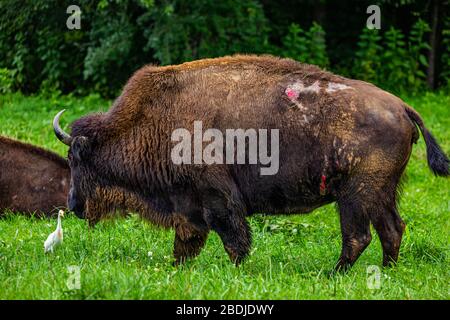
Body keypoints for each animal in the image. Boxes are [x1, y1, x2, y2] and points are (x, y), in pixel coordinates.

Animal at [52, 55, 446, 270]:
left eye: (76, 160)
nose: (73, 205)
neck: (151, 121)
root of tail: (401, 107)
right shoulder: (188, 205)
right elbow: (187, 243)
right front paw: (177, 269)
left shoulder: (218, 199)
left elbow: (233, 240)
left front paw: (239, 270)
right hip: (381, 193)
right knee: (392, 229)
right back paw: (385, 271)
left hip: (356, 195)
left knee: (358, 236)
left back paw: (332, 274)